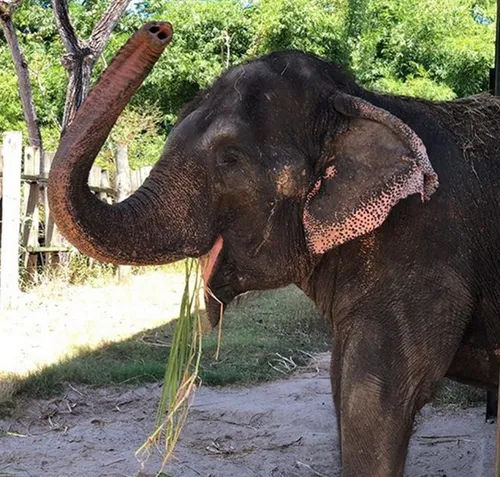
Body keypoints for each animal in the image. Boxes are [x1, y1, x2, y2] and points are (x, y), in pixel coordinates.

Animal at [47, 22, 500, 476]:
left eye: (229, 158)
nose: (158, 29)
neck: (365, 103)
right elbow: (341, 383)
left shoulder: (425, 266)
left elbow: (375, 404)